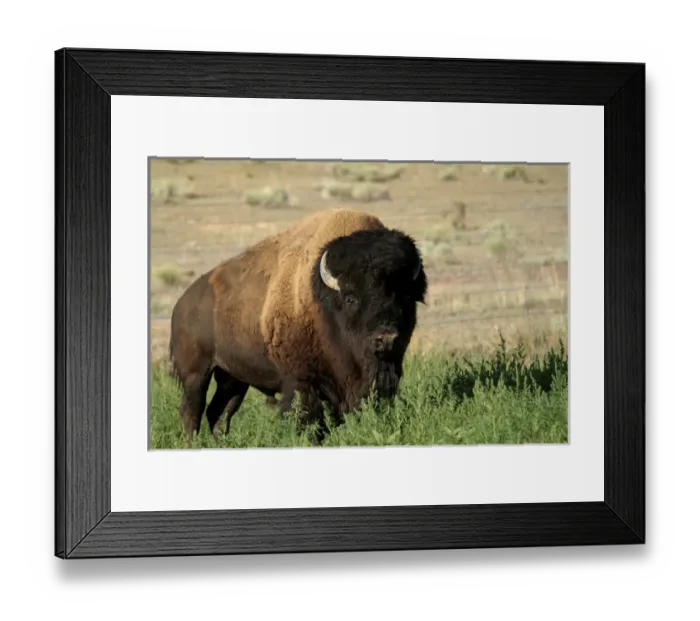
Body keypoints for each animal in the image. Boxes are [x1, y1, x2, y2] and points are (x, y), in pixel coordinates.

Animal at [168, 208, 428, 441]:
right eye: (351, 298)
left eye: (404, 296)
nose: (386, 339)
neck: (323, 302)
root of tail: (181, 305)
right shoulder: (302, 382)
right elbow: (308, 418)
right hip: (196, 374)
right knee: (191, 411)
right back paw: (193, 443)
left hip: (233, 379)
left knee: (219, 413)